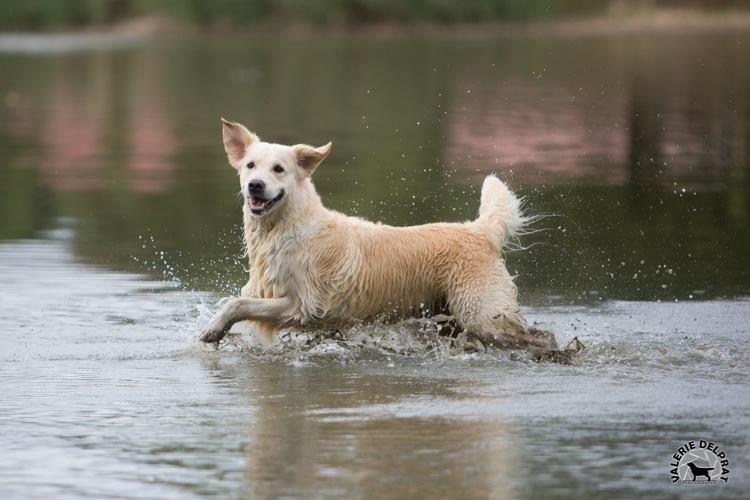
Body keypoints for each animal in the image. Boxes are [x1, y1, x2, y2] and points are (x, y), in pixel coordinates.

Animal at [200, 119, 568, 358]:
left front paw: (213, 329)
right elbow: (239, 299)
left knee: (539, 336)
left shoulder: (303, 306)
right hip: (454, 318)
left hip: (483, 314)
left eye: (278, 169)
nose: (255, 186)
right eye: (250, 165)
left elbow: (236, 303)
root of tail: (478, 230)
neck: (286, 229)